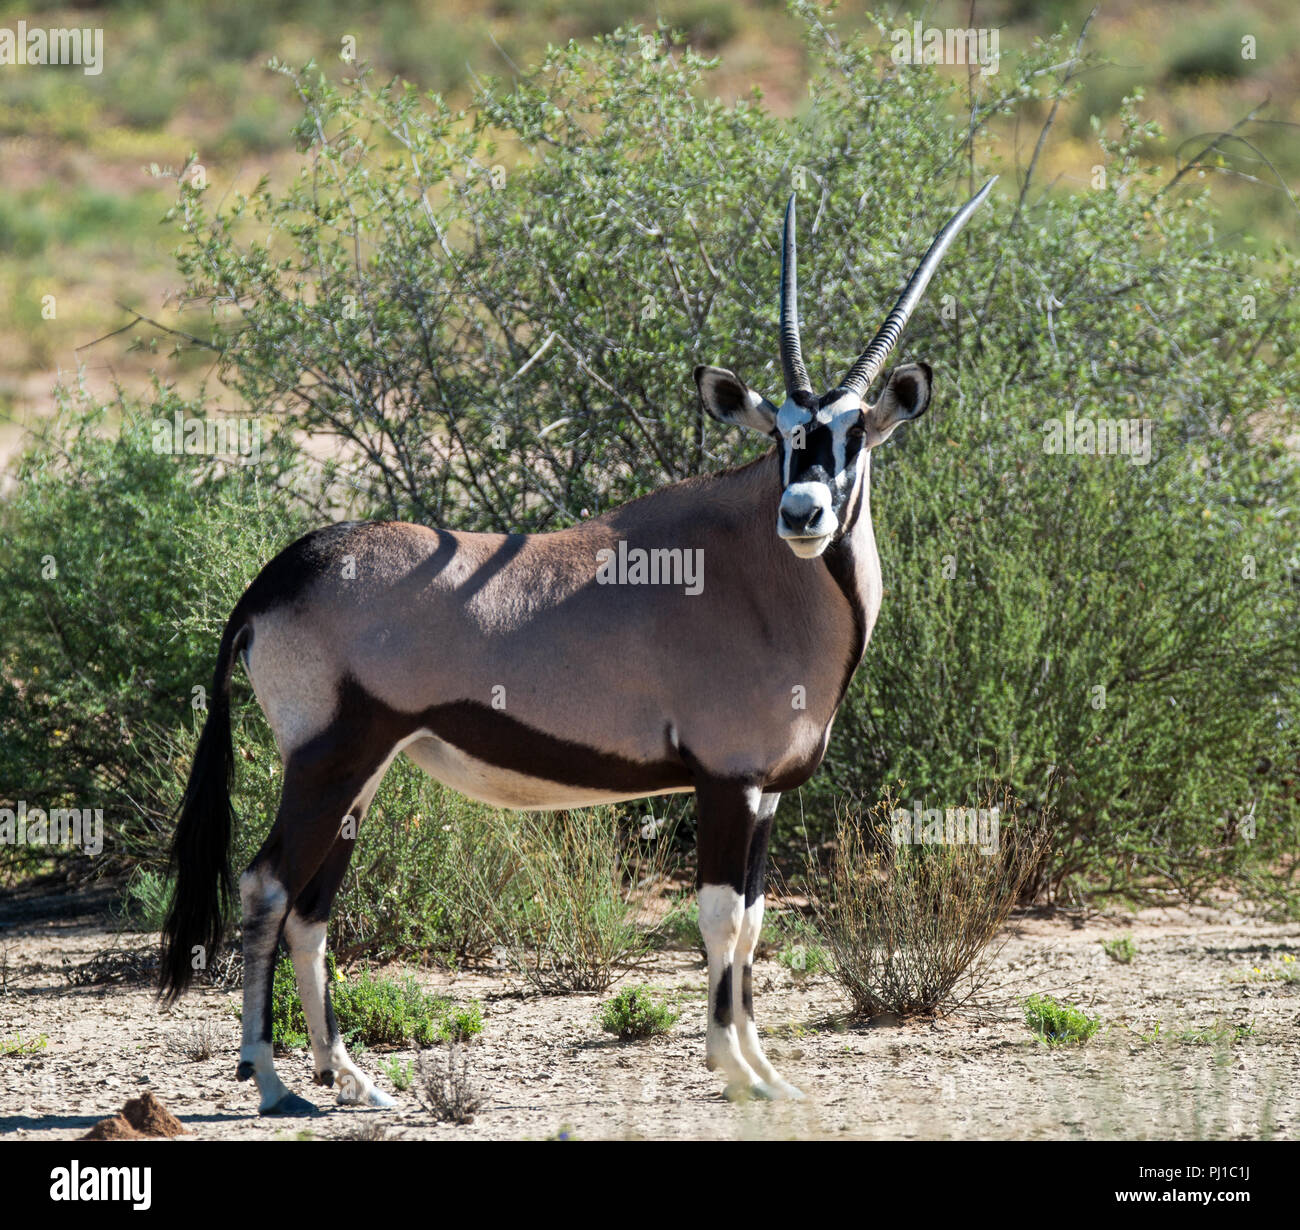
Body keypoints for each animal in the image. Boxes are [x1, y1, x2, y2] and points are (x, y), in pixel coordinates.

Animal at [162, 176, 993, 1107]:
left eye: (852, 434)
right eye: (781, 434)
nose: (802, 514)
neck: (759, 576)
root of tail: (280, 574)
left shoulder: (766, 794)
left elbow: (753, 923)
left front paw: (769, 1073)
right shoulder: (724, 782)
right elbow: (720, 919)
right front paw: (734, 1071)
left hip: (359, 776)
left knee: (312, 909)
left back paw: (351, 1080)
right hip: (327, 762)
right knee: (268, 886)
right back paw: (271, 1079)